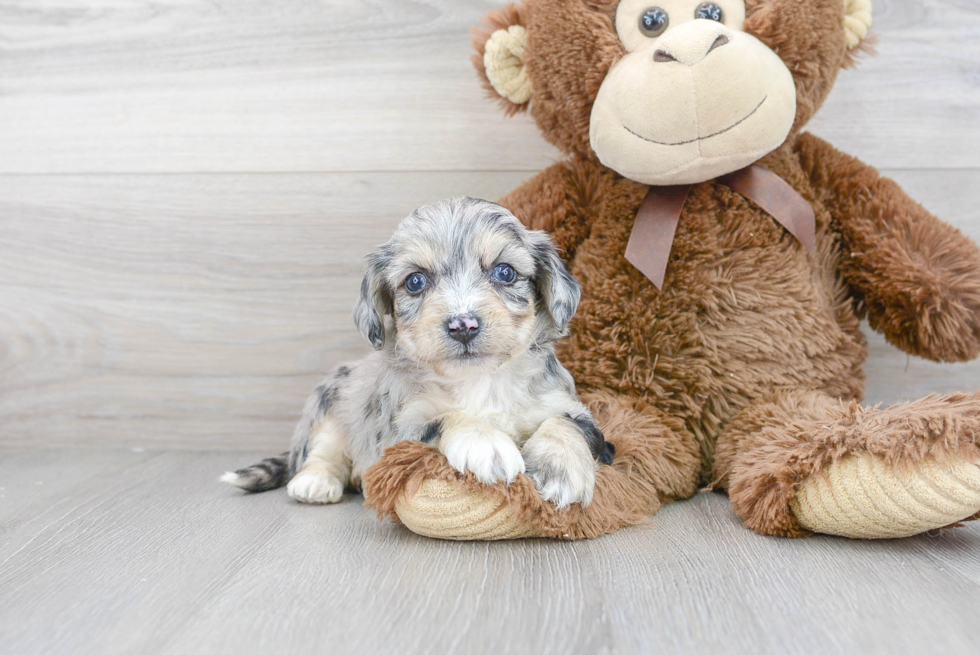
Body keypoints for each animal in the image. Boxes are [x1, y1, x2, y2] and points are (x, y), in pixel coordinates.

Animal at [222, 197, 612, 510]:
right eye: (415, 281)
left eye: (505, 272)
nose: (463, 324)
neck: (480, 382)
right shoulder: (399, 432)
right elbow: (443, 417)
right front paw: (485, 441)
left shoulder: (568, 407)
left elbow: (565, 423)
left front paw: (560, 468)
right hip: (331, 398)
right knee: (325, 447)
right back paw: (315, 481)